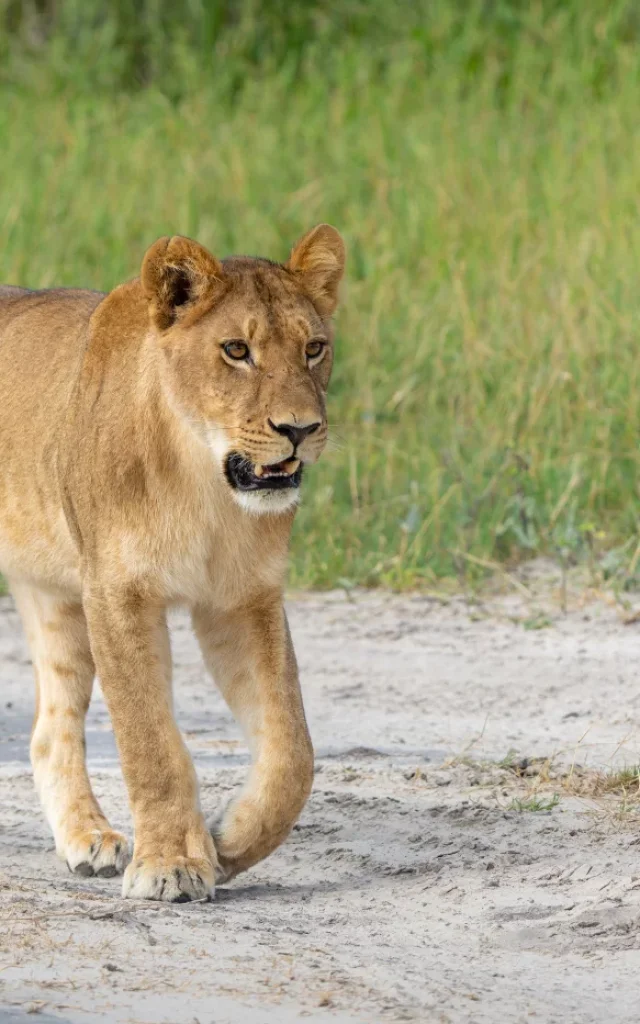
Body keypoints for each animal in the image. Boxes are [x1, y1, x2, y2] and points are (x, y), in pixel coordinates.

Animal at [0, 224, 345, 902]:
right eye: (236, 350)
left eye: (314, 348)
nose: (300, 429)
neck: (204, 484)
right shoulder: (116, 592)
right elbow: (149, 738)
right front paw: (171, 864)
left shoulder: (243, 599)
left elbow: (293, 752)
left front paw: (228, 842)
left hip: (52, 593)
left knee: (50, 733)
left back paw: (88, 839)